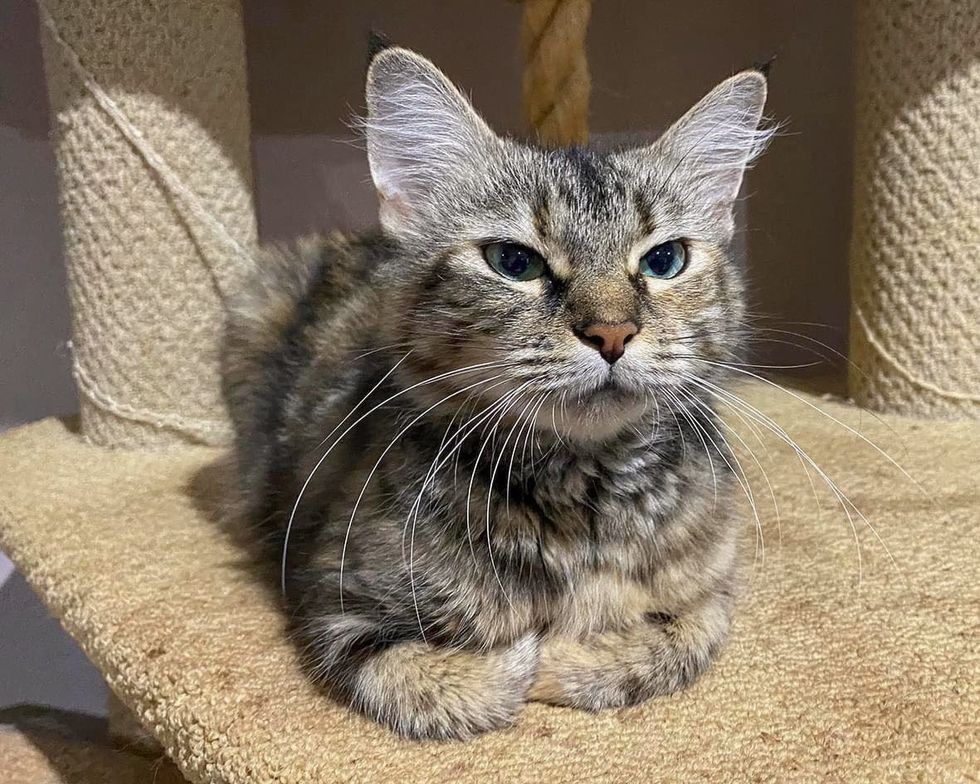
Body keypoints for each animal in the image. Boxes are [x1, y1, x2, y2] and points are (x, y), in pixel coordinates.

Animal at [222, 43, 772, 740]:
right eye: (514, 263)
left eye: (664, 260)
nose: (612, 333)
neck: (582, 502)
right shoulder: (333, 603)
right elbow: (467, 682)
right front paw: (533, 656)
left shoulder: (715, 587)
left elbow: (679, 640)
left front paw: (575, 654)